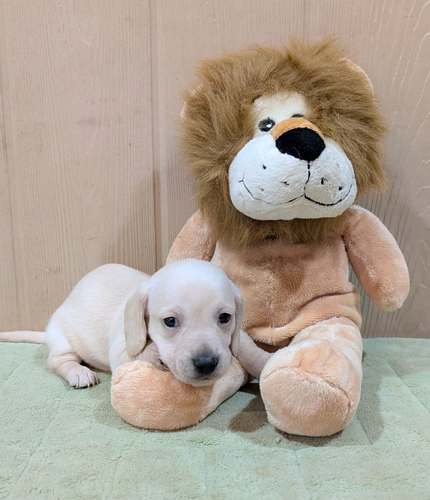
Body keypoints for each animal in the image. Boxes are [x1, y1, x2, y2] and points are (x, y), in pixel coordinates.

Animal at [0, 259, 269, 388]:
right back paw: (79, 372)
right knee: (58, 361)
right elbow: (143, 354)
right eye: (170, 322)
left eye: (225, 318)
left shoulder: (238, 334)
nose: (206, 363)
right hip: (61, 337)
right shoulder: (123, 352)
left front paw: (266, 361)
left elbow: (246, 346)